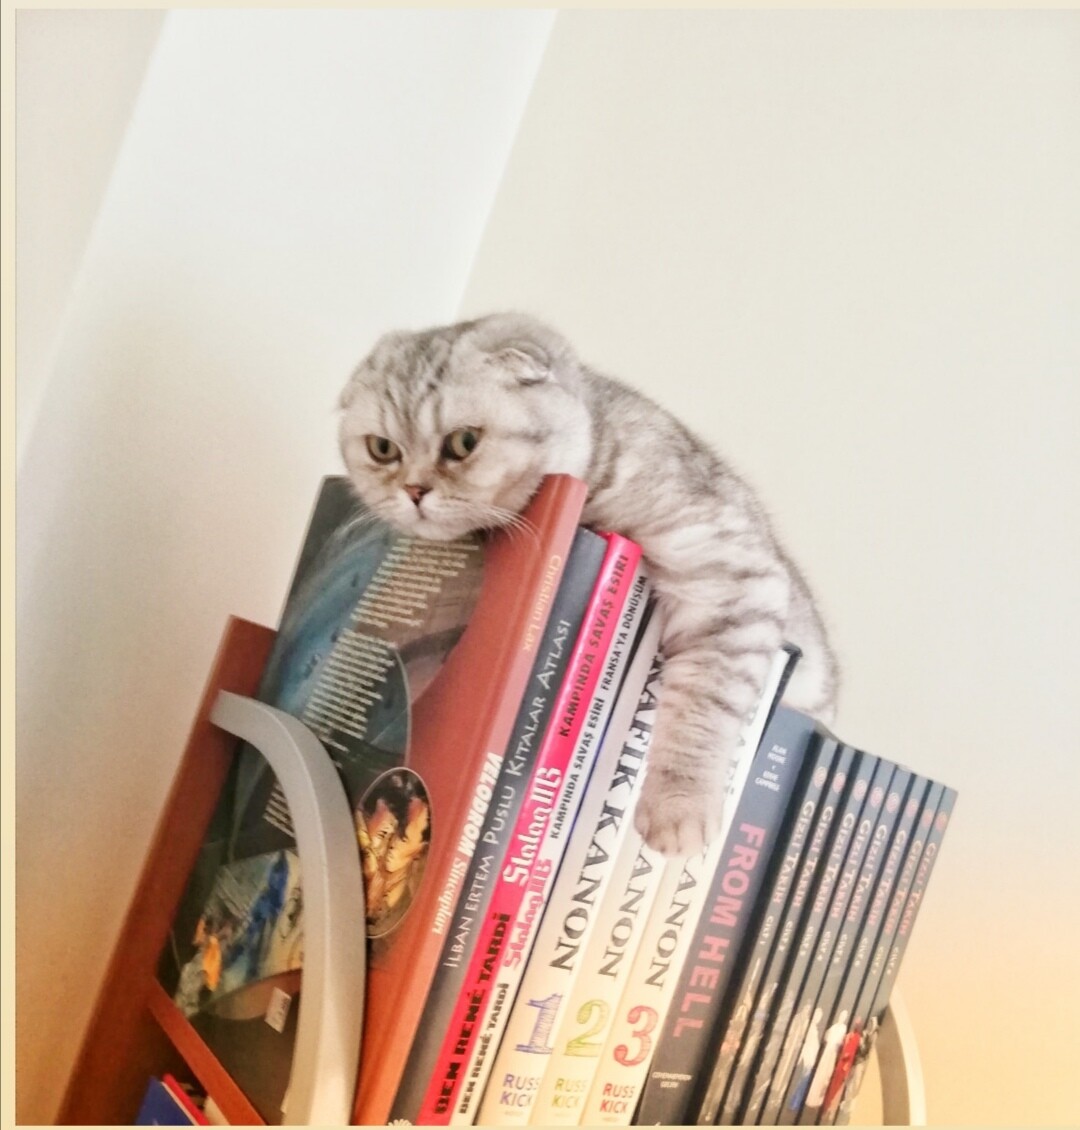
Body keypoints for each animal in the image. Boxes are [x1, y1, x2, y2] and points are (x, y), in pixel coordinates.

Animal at [338, 311, 838, 855]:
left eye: (463, 443)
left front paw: (680, 806)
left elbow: (704, 709)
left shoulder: (726, 575)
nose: (413, 490)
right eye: (382, 449)